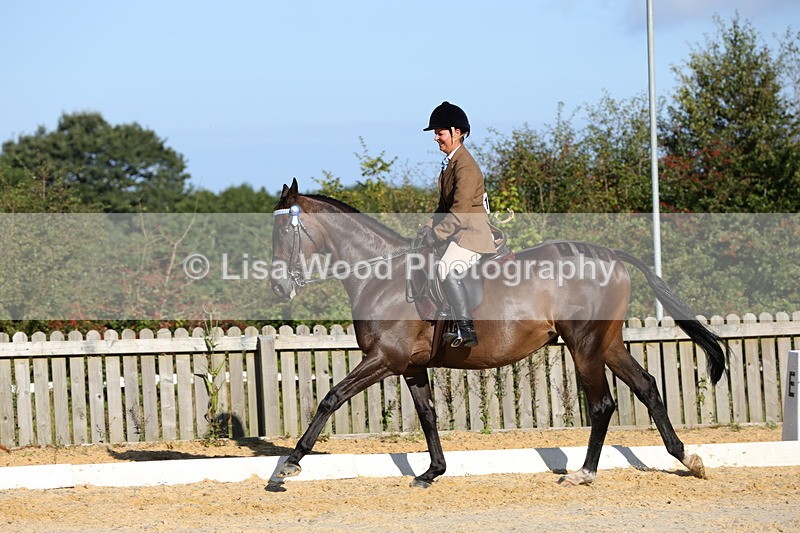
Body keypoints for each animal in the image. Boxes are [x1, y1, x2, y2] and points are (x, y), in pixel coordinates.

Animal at [269, 179, 726, 488]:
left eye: (284, 231)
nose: (278, 287)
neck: (381, 275)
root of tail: (610, 254)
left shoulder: (385, 358)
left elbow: (330, 398)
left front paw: (288, 465)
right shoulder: (411, 366)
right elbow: (428, 416)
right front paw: (432, 471)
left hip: (584, 346)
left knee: (602, 404)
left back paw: (584, 473)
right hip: (608, 344)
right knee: (647, 387)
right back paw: (687, 457)